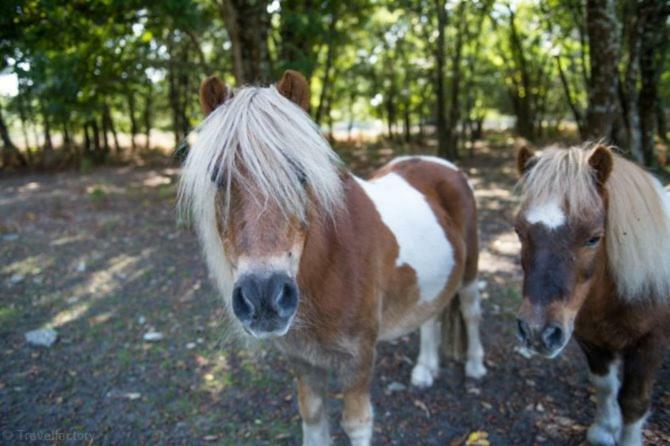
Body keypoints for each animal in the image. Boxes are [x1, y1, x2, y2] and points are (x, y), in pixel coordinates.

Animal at [180, 71, 488, 444]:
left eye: (300, 174)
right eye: (216, 176)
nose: (264, 297)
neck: (330, 266)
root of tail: (444, 166)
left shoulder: (358, 359)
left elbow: (356, 423)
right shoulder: (302, 362)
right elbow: (313, 419)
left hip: (470, 270)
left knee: (471, 311)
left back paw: (475, 366)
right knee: (431, 314)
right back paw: (425, 370)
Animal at [516, 144, 668, 446]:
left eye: (594, 238)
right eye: (519, 232)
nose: (537, 332)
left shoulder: (651, 343)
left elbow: (634, 401)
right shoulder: (590, 339)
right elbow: (604, 386)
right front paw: (604, 430)